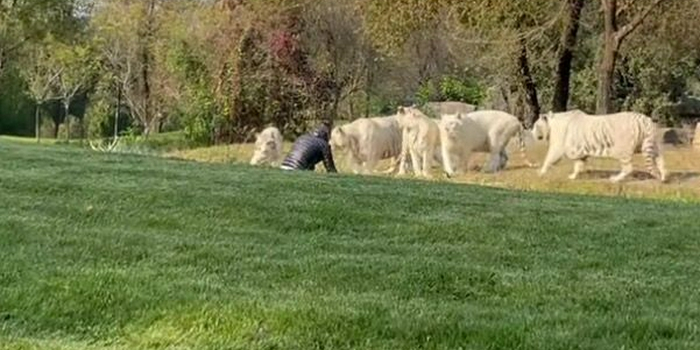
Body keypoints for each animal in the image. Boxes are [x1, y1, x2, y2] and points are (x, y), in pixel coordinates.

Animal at [536, 110, 668, 183]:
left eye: (536, 125)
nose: (532, 133)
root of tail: (646, 120)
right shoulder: (580, 152)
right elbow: (578, 165)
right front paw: (572, 177)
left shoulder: (558, 147)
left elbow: (549, 159)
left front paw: (540, 173)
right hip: (651, 145)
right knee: (660, 160)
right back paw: (663, 177)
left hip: (623, 151)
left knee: (628, 168)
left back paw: (614, 179)